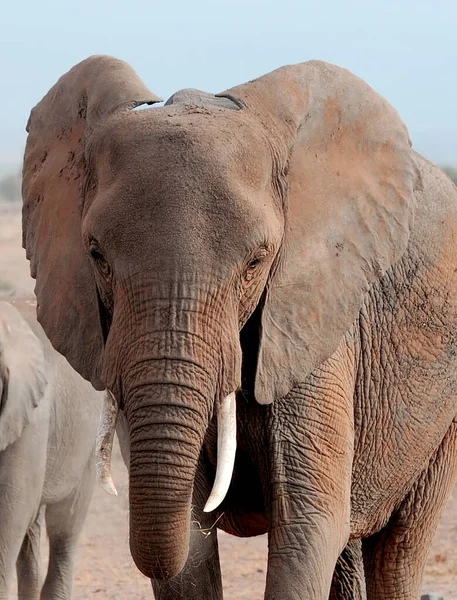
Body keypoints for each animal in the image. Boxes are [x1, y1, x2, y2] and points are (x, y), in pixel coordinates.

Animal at [22, 54, 457, 596]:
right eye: (96, 255)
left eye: (256, 262)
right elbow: (189, 549)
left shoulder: (311, 315)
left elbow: (307, 527)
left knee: (398, 551)